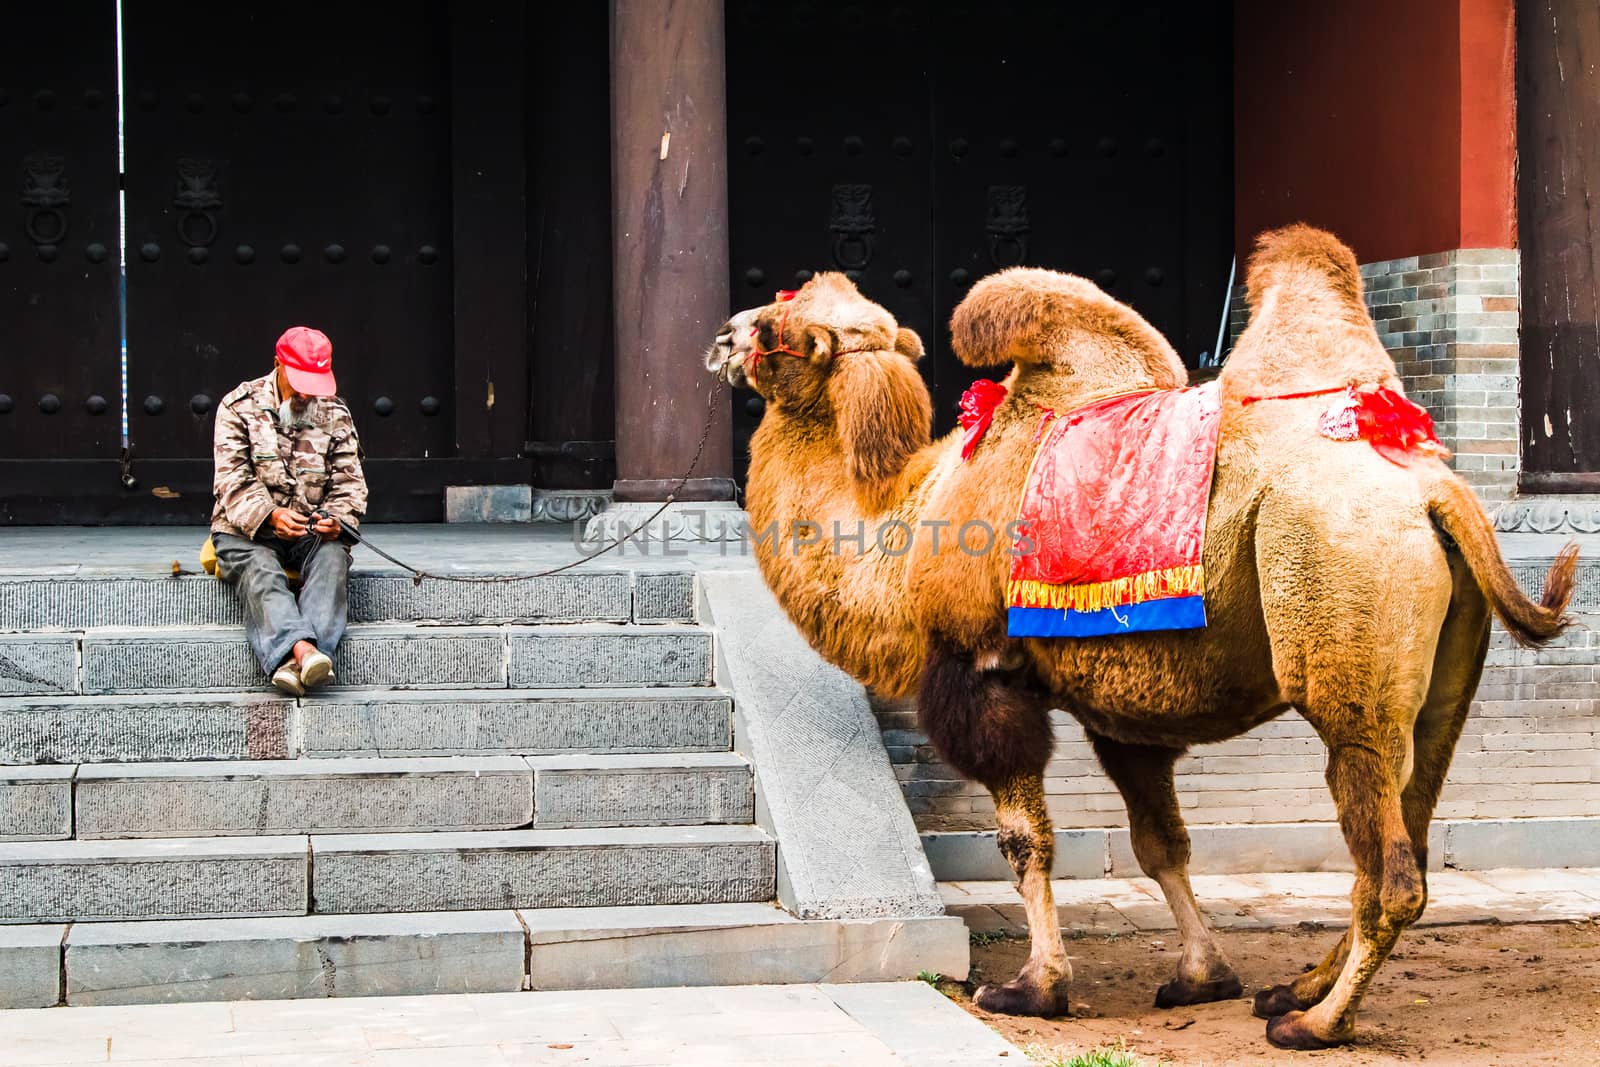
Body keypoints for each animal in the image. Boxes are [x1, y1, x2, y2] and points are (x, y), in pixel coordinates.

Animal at [710, 225, 1574, 1049]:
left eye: (778, 327)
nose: (721, 337)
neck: (909, 517)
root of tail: (1436, 492)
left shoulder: (984, 670)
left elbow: (1025, 840)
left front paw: (1034, 987)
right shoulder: (1121, 707)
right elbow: (1161, 842)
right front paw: (1203, 975)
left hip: (1343, 640)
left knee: (1388, 863)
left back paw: (1317, 1023)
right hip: (1444, 688)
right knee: (1410, 827)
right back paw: (1294, 988)